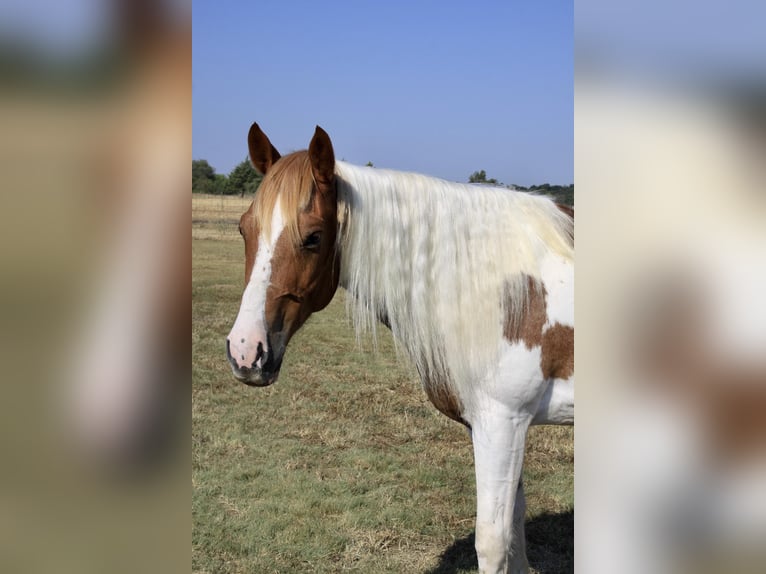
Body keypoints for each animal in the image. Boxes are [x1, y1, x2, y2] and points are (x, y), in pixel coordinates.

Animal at [225, 124, 572, 572]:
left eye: (314, 237)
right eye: (243, 228)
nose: (245, 351)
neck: (500, 288)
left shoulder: (503, 422)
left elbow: (493, 541)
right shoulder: (502, 425)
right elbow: (515, 531)